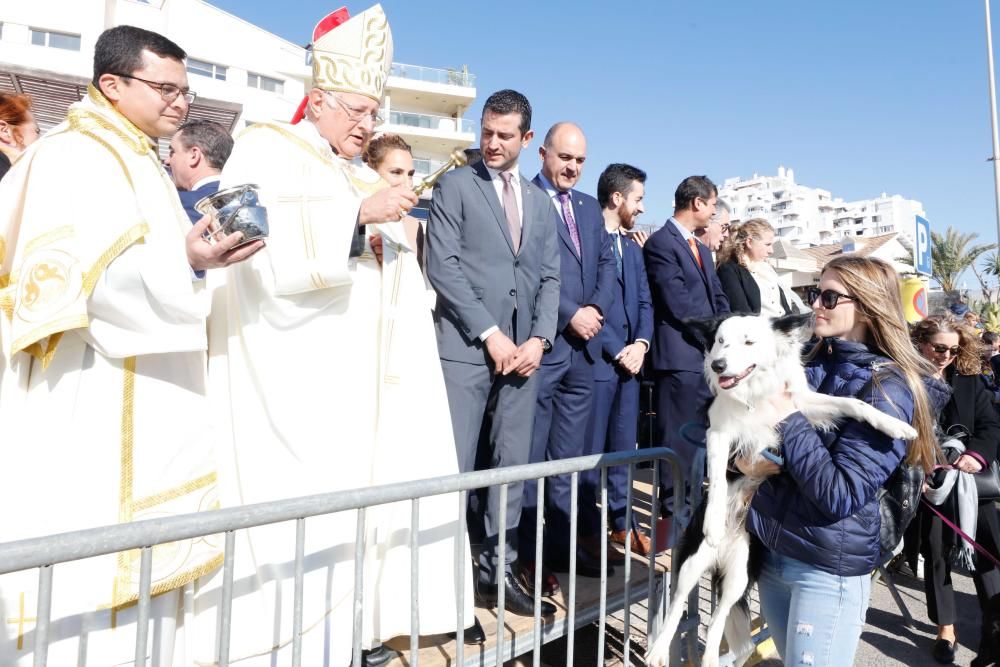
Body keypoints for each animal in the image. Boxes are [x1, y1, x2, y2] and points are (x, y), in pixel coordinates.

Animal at [644, 314, 916, 667]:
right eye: (719, 341)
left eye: (748, 342)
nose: (718, 366)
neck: (754, 390)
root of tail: (721, 553)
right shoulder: (718, 434)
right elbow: (717, 479)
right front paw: (714, 521)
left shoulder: (800, 405)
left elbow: (852, 401)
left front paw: (894, 424)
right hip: (693, 562)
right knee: (677, 605)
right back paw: (659, 650)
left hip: (739, 573)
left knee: (719, 619)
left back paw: (712, 658)